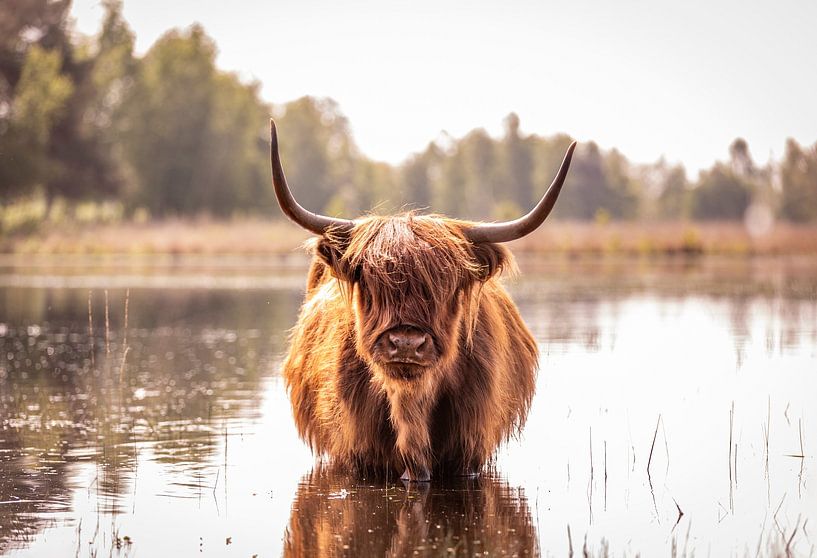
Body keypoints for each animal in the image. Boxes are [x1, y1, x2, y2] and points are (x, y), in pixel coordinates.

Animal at [270, 120, 576, 484]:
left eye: (446, 287)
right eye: (370, 285)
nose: (405, 343)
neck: (410, 405)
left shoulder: (468, 456)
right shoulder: (356, 455)